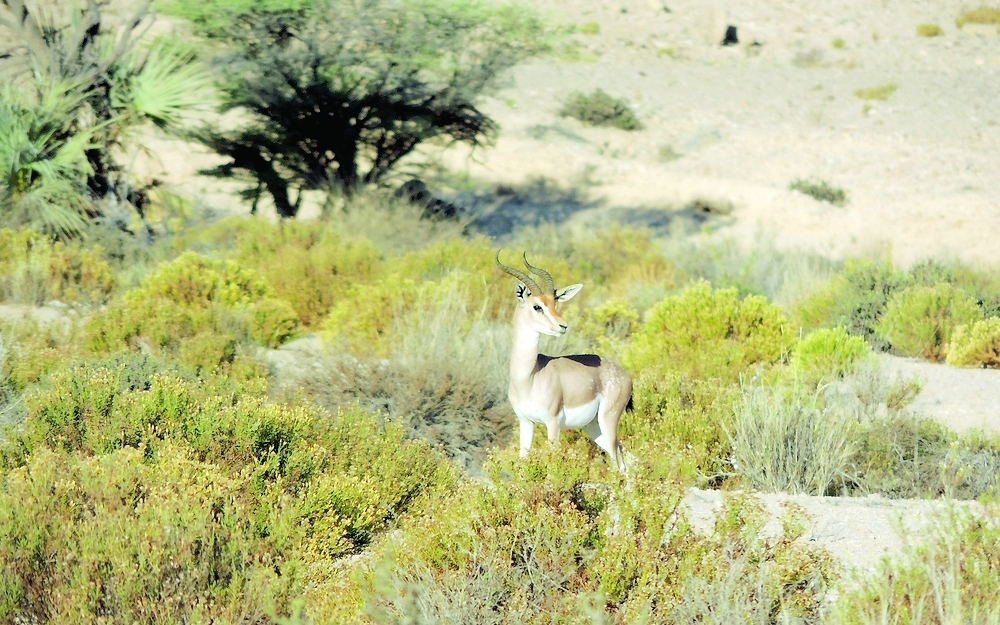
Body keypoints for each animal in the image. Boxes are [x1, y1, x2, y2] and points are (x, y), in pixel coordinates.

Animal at [496, 251, 633, 472]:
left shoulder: (552, 422)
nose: (563, 326)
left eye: (555, 303)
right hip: (593, 426)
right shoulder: (526, 422)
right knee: (621, 453)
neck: (529, 378)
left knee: (619, 459)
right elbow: (523, 460)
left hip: (607, 420)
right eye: (537, 306)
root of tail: (626, 375)